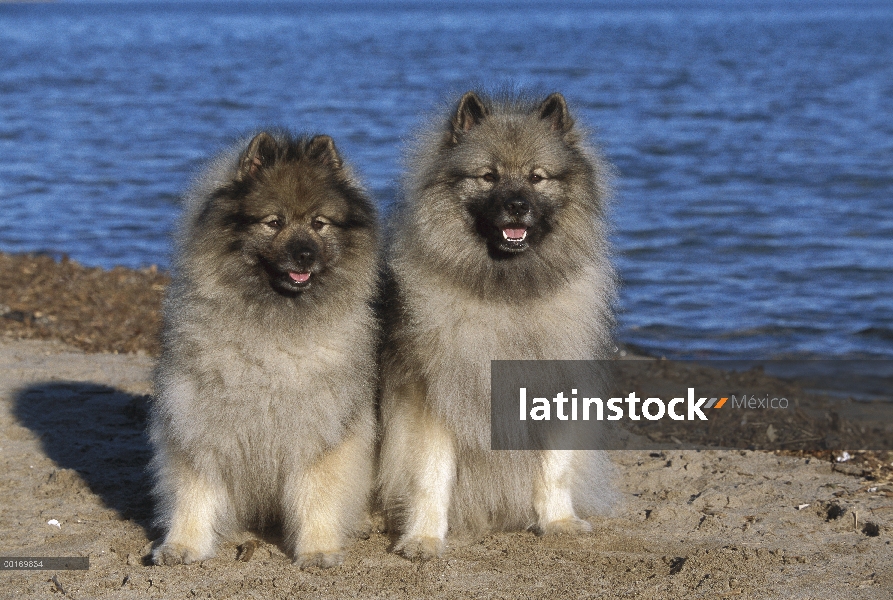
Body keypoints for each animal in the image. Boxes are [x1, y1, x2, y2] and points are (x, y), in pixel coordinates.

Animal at [149, 130, 376, 568]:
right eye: (274, 222)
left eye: (318, 224)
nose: (304, 254)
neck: (271, 331)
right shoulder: (198, 421)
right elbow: (193, 492)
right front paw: (183, 544)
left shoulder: (317, 431)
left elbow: (317, 495)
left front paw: (318, 548)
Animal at [374, 91, 612, 560]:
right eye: (488, 176)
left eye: (536, 177)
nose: (517, 205)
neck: (507, 294)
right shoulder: (431, 398)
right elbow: (430, 477)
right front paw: (424, 538)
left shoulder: (553, 385)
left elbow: (555, 467)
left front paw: (558, 521)